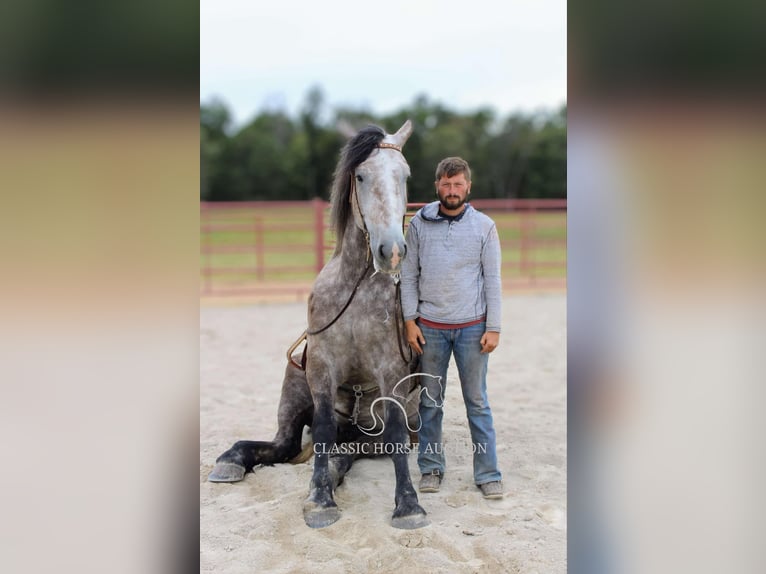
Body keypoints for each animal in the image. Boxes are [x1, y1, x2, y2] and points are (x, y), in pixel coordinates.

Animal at [207, 120, 432, 532]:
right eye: (360, 176)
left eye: (404, 176)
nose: (392, 251)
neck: (355, 288)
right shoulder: (322, 368)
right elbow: (324, 430)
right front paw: (320, 500)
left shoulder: (390, 371)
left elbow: (390, 435)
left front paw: (408, 506)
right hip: (294, 390)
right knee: (286, 445)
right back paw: (231, 460)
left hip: (384, 428)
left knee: (351, 449)